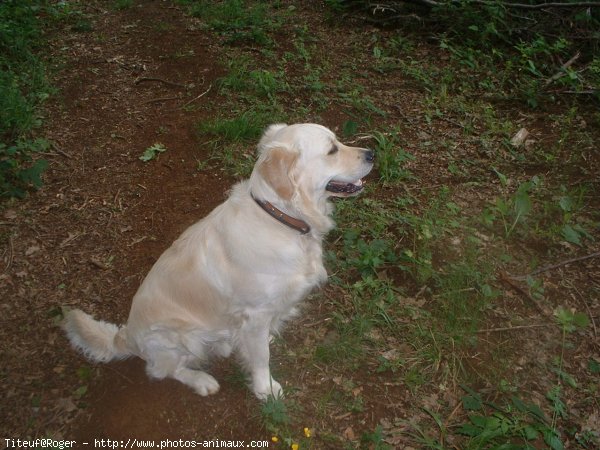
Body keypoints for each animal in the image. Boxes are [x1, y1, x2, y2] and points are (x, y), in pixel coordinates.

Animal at [64, 124, 376, 400]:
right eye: (332, 150)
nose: (372, 152)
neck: (279, 217)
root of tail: (127, 335)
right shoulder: (256, 312)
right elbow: (261, 357)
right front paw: (265, 388)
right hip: (177, 337)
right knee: (163, 370)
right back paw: (201, 380)